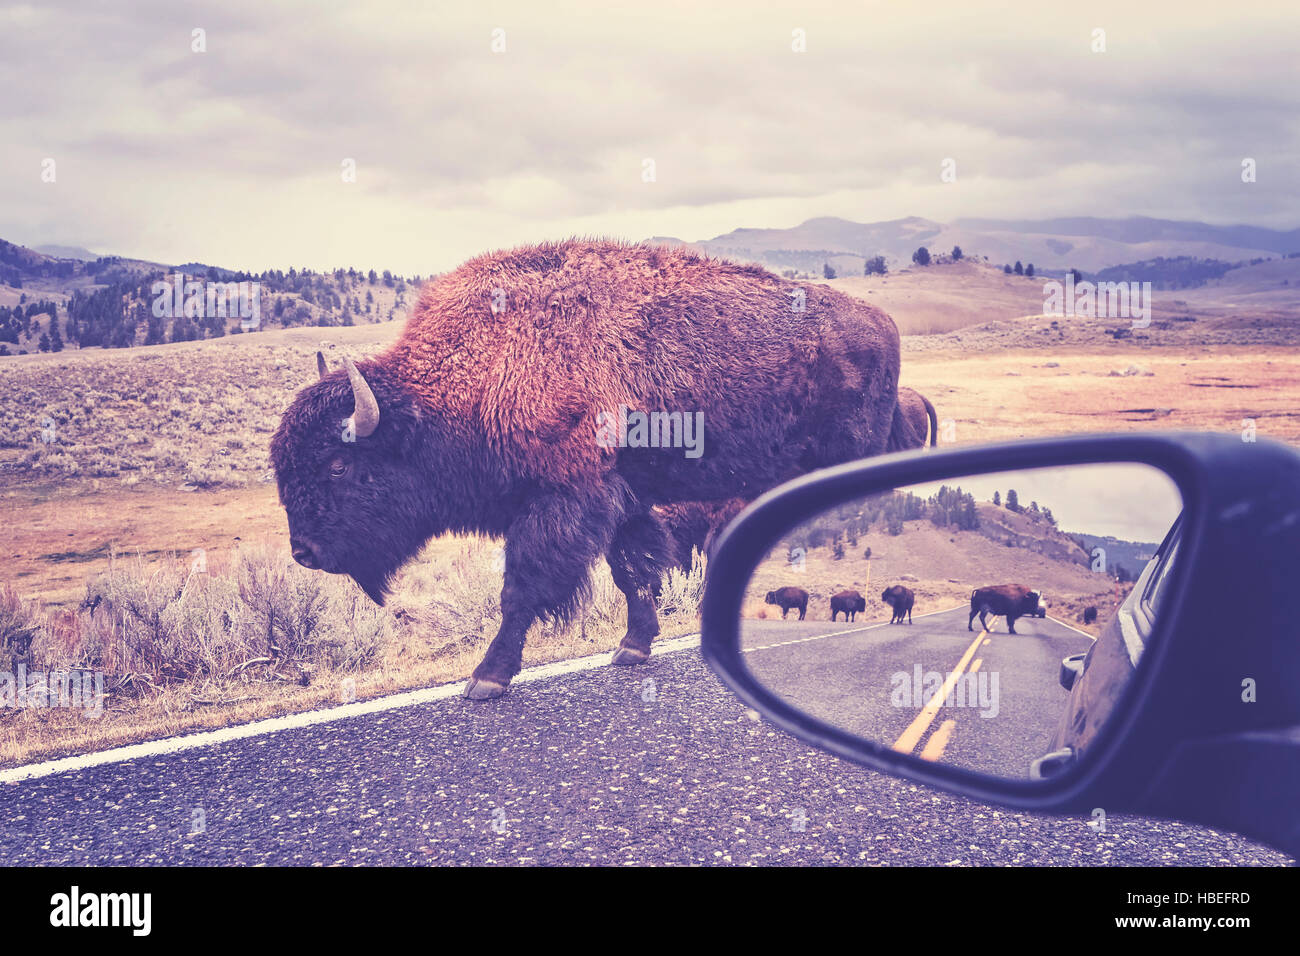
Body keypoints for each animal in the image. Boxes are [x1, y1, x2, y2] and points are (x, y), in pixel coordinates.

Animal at [271, 243, 904, 697]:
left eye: (338, 464)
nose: (303, 551)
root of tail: (885, 324)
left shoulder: (565, 498)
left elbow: (522, 588)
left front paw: (486, 678)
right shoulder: (625, 497)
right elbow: (633, 572)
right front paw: (632, 648)